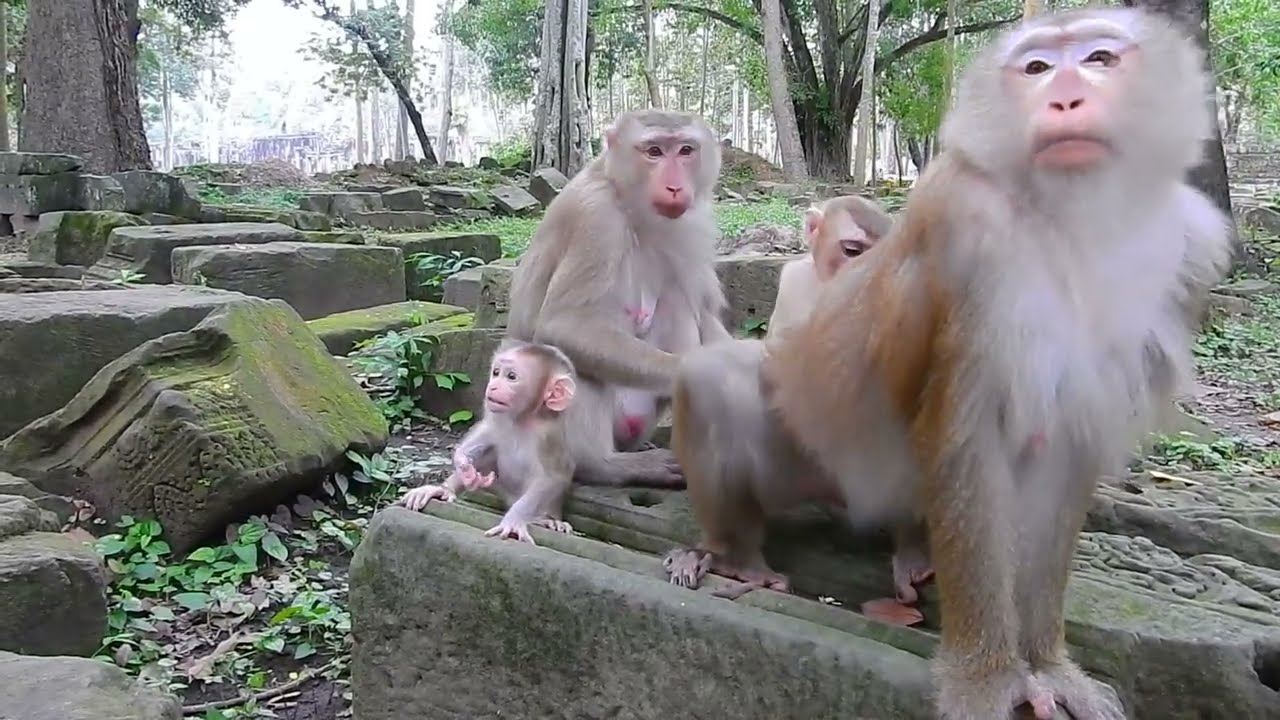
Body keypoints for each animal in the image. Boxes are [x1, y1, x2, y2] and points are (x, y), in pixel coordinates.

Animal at [400, 338, 578, 545]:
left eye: (511, 376)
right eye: (496, 373)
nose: (493, 386)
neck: (521, 420)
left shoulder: (548, 437)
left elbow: (552, 478)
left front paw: (514, 520)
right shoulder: (497, 419)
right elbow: (484, 435)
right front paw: (465, 467)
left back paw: (549, 522)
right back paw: (443, 489)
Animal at [505, 109, 732, 489]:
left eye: (685, 150)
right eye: (654, 151)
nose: (674, 186)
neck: (630, 203)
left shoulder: (695, 223)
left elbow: (705, 314)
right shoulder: (594, 216)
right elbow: (563, 326)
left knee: (677, 299)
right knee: (569, 356)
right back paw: (603, 465)